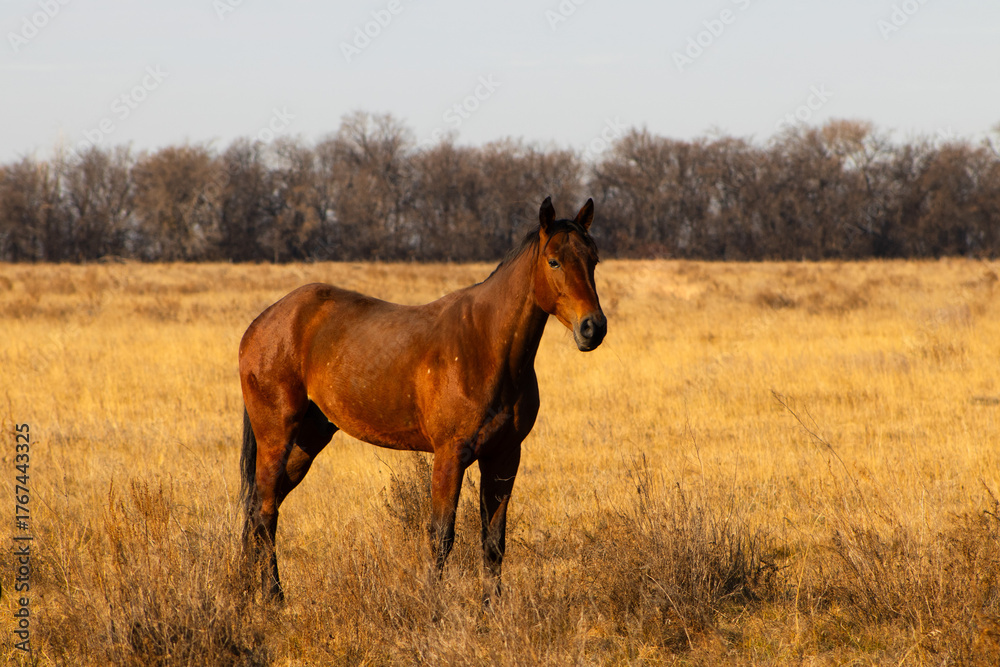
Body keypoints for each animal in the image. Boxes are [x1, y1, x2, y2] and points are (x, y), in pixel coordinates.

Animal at [238, 196, 607, 604]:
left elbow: (494, 541)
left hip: (308, 439)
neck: (486, 345)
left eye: (593, 260)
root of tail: (264, 322)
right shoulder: (450, 455)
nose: (593, 328)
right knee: (265, 513)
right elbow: (442, 536)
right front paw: (433, 607)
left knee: (258, 510)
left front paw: (491, 609)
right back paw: (273, 597)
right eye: (554, 261)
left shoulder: (504, 457)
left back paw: (249, 593)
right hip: (276, 437)